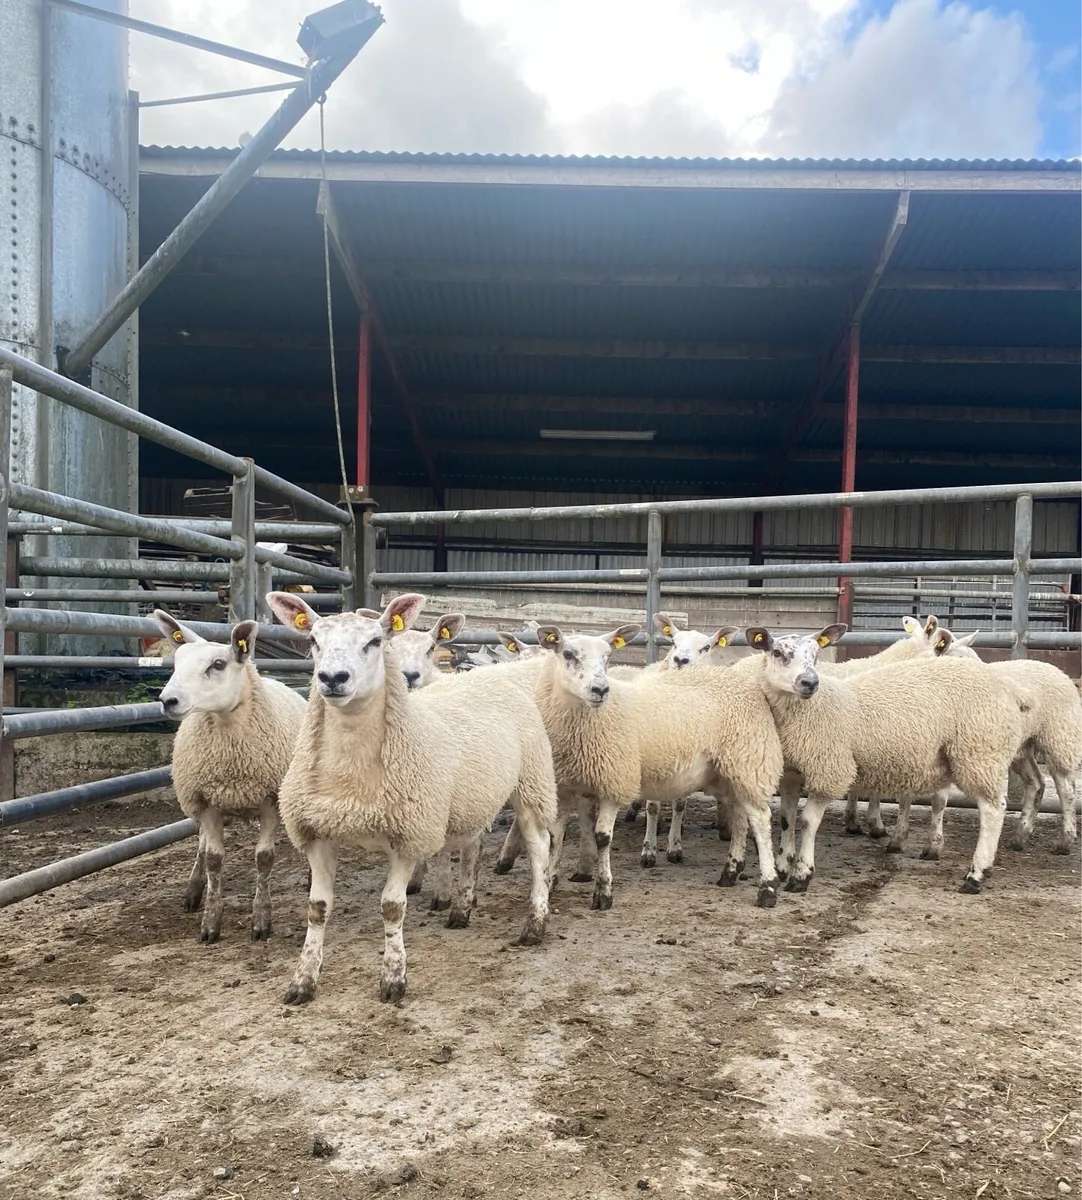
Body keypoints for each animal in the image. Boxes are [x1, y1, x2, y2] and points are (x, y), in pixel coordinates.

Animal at [155, 610, 307, 943]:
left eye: (218, 664)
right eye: (176, 662)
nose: (167, 700)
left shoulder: (270, 800)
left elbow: (264, 858)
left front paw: (261, 920)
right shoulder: (206, 800)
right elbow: (213, 858)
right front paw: (210, 924)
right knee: (201, 845)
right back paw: (193, 891)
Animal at [266, 591, 557, 1004]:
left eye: (375, 641)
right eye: (313, 641)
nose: (333, 679)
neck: (352, 778)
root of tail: (487, 675)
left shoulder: (409, 835)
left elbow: (392, 907)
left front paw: (393, 978)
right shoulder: (317, 833)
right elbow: (317, 908)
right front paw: (302, 981)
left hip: (532, 782)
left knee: (538, 849)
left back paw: (535, 923)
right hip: (472, 797)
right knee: (473, 846)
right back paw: (461, 909)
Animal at [493, 623, 785, 910]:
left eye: (608, 656)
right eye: (567, 653)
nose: (600, 690)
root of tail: (740, 680)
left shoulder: (614, 781)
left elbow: (602, 837)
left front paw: (603, 892)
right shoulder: (563, 785)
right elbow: (556, 836)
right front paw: (551, 884)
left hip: (749, 761)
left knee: (760, 820)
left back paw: (768, 888)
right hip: (728, 771)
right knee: (740, 816)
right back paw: (731, 872)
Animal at [741, 623, 1025, 894]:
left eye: (816, 654)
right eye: (777, 653)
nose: (809, 683)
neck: (809, 711)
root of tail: (1004, 688)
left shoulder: (830, 770)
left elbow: (808, 822)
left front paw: (801, 874)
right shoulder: (790, 773)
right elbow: (786, 819)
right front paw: (782, 866)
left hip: (979, 752)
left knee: (993, 808)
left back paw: (976, 875)